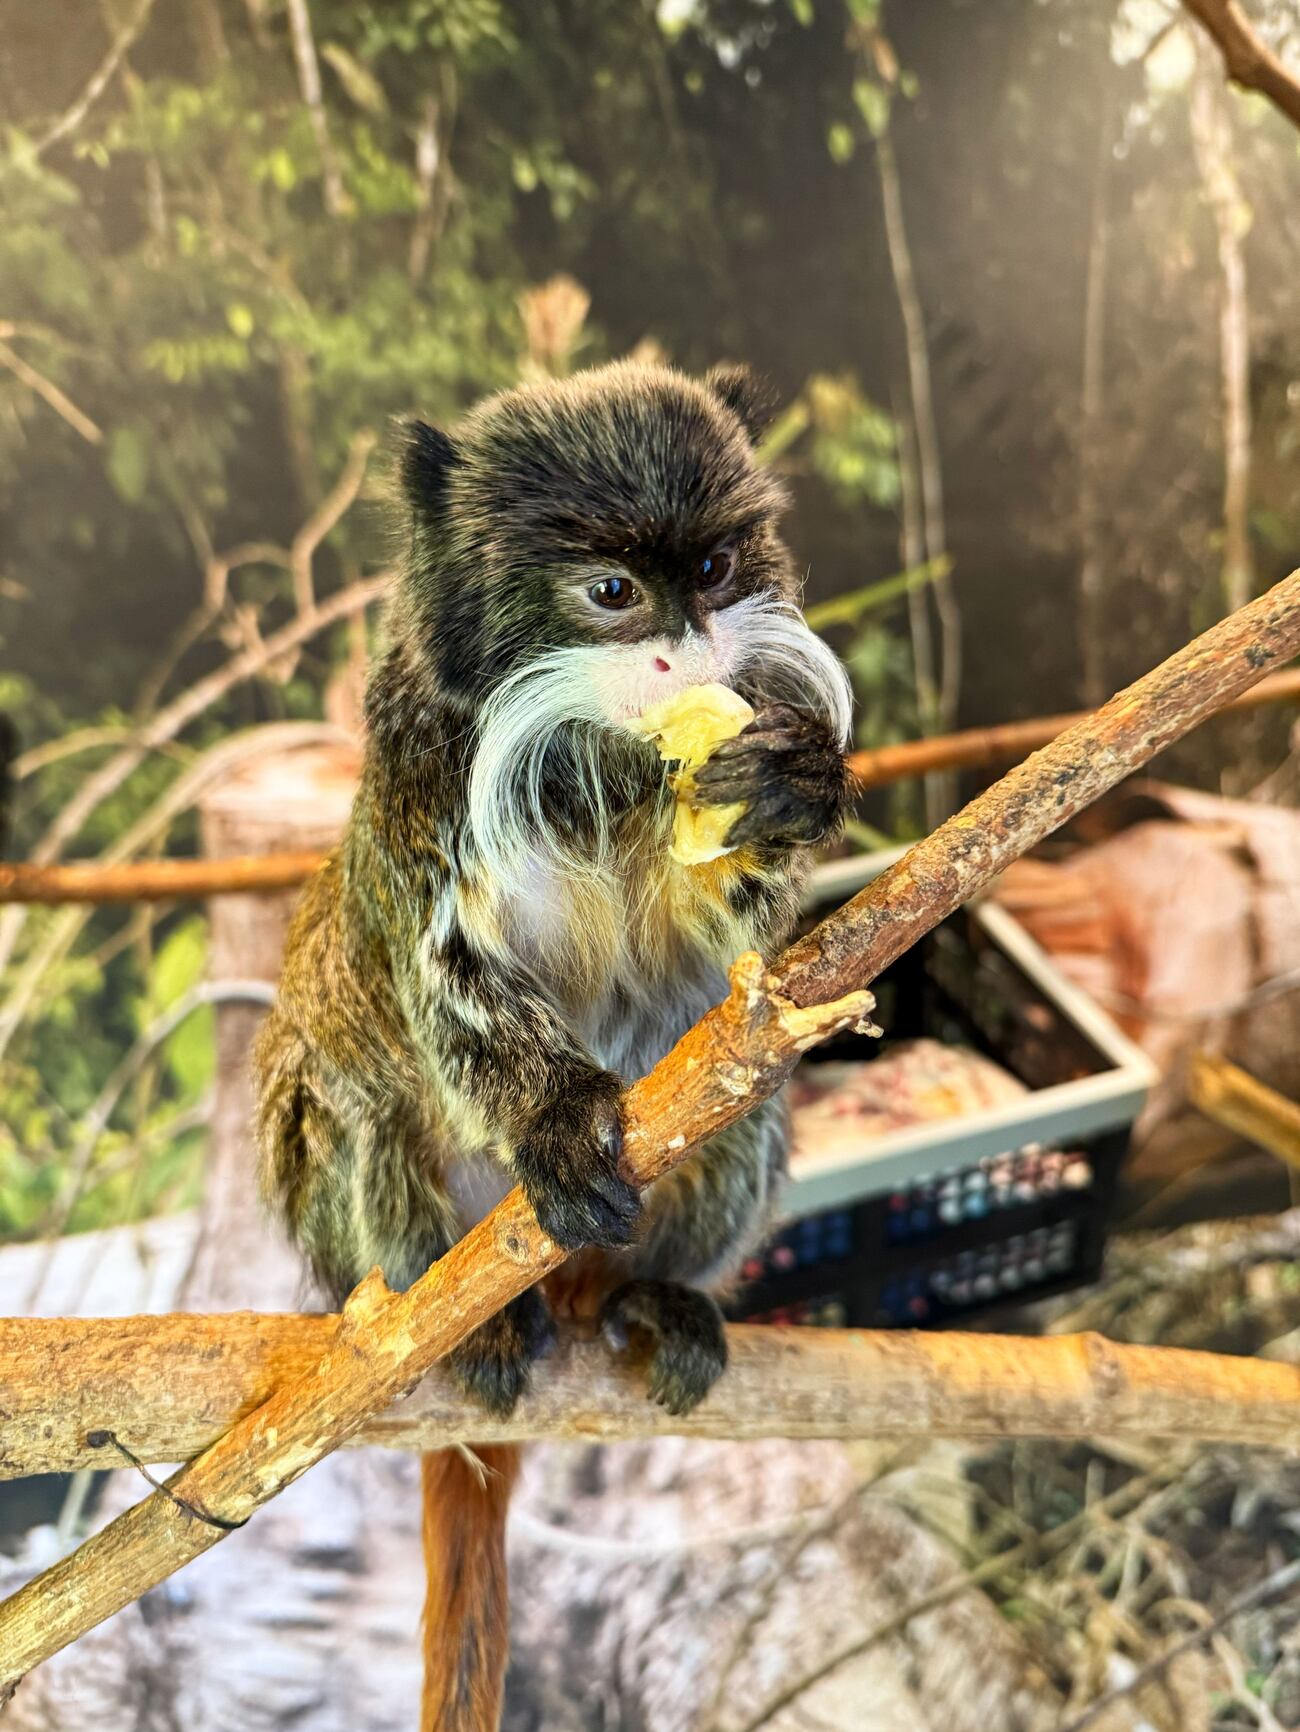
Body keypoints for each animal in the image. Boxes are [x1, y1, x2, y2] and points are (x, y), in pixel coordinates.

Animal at [252, 358, 854, 1731]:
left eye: (715, 567)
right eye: (612, 593)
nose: (683, 647)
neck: (594, 750)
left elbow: (726, 975)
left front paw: (787, 789)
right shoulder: (426, 786)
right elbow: (453, 991)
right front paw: (558, 1125)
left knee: (748, 1106)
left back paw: (650, 1298)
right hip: (353, 1245)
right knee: (358, 1106)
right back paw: (463, 1328)